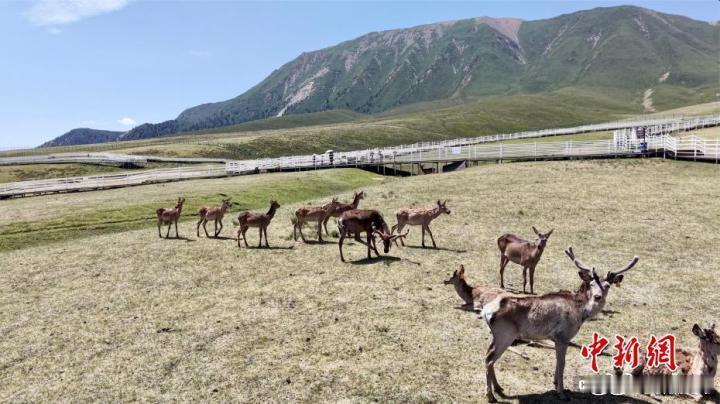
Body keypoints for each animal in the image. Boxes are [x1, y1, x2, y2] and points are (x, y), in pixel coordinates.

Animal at [480, 246, 639, 402]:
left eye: (607, 285)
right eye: (592, 284)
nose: (597, 296)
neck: (580, 313)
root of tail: (485, 311)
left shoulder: (556, 338)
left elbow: (557, 361)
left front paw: (555, 383)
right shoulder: (563, 335)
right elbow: (562, 363)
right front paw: (562, 393)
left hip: (498, 335)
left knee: (488, 354)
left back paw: (499, 388)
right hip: (505, 334)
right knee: (489, 359)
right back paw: (490, 395)